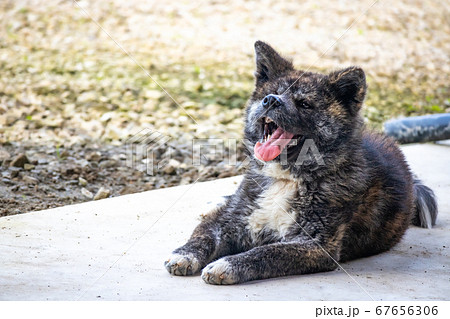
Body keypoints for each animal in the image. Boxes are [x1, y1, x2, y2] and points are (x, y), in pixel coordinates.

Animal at [163, 40, 438, 284]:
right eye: (271, 93)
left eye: (304, 103)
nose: (270, 100)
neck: (285, 178)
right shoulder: (230, 221)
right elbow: (204, 235)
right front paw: (185, 254)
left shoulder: (315, 245)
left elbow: (266, 252)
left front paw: (227, 265)